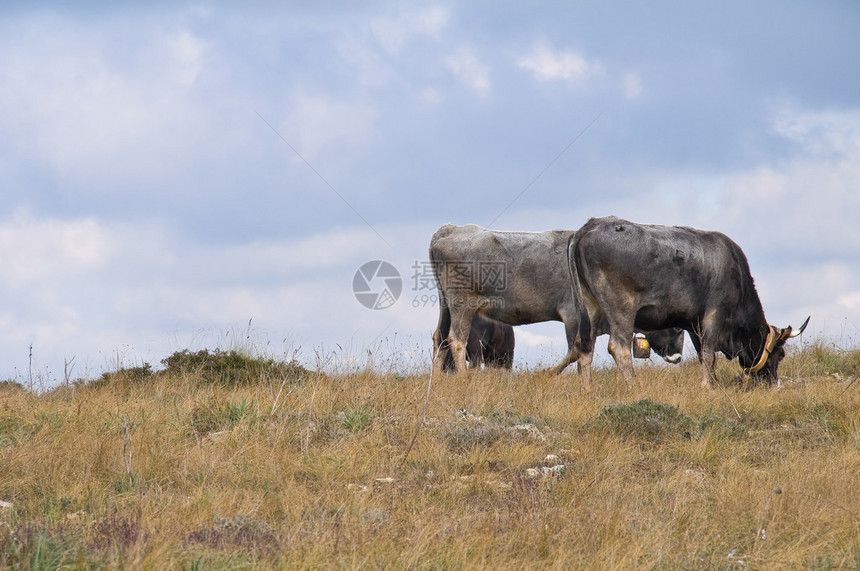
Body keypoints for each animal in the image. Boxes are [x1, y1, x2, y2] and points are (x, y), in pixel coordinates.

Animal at [434, 223, 688, 376]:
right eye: (676, 327)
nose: (677, 357)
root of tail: (450, 229)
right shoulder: (573, 315)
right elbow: (576, 349)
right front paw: (546, 373)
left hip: (445, 305)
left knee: (440, 338)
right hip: (462, 305)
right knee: (456, 340)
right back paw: (463, 378)